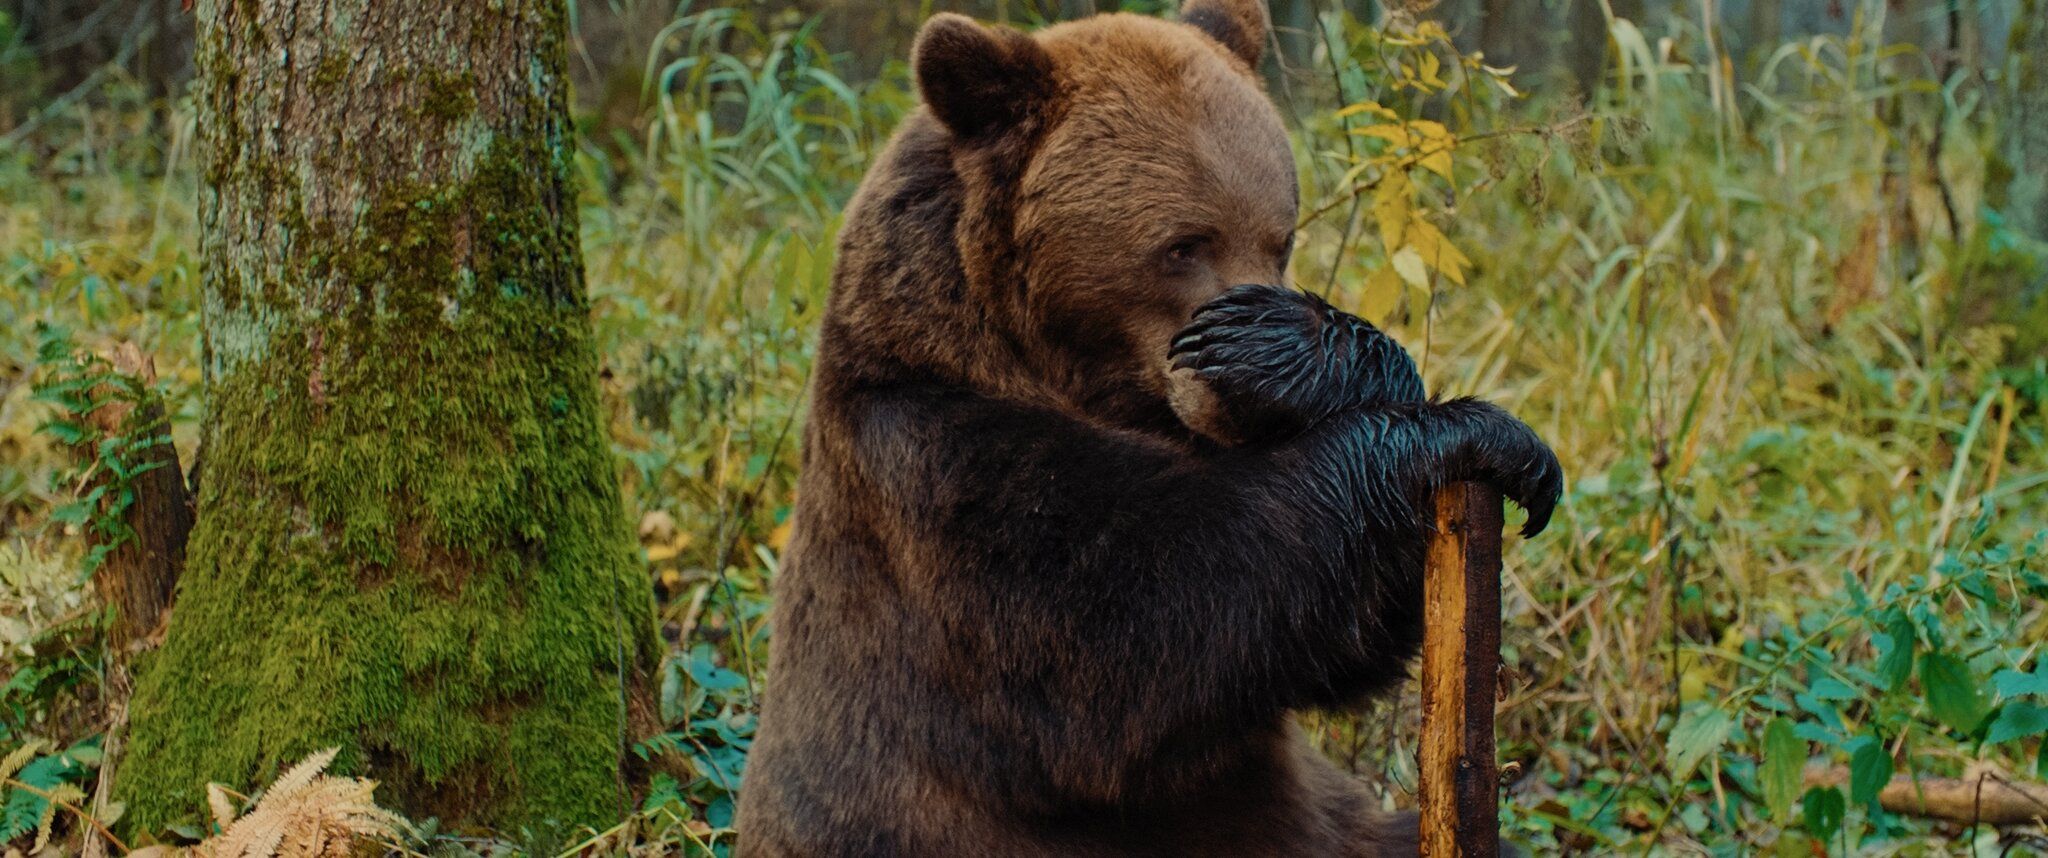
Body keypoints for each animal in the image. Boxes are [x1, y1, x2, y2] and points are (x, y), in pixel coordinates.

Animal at [734, 2, 1563, 855]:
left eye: (1282, 237)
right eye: (1182, 245)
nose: (1231, 397)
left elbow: (1336, 646)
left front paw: (1506, 447)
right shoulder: (935, 481)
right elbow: (1151, 624)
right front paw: (1456, 427)